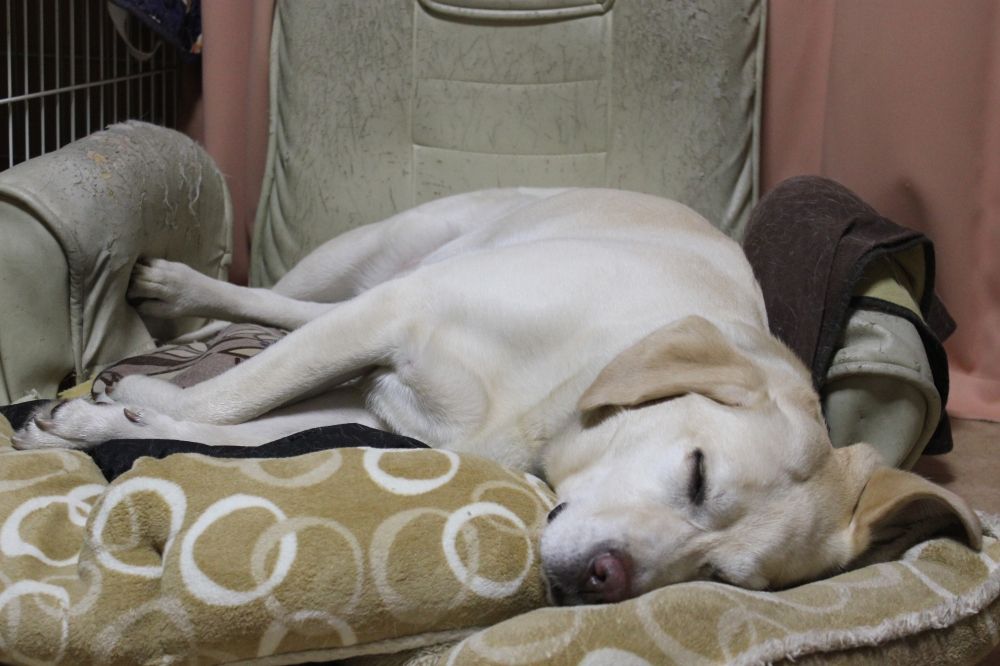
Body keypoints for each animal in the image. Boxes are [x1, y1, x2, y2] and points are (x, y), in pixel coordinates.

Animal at [13, 187, 981, 605]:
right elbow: (235, 397)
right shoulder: (393, 317)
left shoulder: (368, 405)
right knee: (274, 303)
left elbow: (239, 430)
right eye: (699, 473)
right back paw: (174, 297)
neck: (565, 388)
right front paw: (103, 407)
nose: (603, 581)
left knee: (289, 323)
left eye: (720, 577)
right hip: (379, 255)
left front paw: (114, 417)